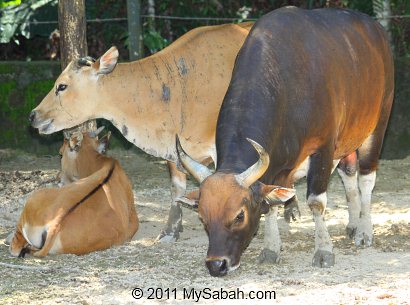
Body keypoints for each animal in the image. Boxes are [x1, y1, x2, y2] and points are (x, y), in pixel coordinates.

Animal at [9, 129, 138, 255]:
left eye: (61, 154)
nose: (58, 178)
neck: (105, 163)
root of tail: (55, 226)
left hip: (33, 199)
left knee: (15, 247)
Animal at [176, 7, 394, 276]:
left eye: (239, 216)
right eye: (202, 217)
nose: (217, 264)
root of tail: (376, 29)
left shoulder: (323, 148)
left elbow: (316, 202)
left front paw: (324, 250)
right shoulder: (278, 163)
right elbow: (271, 204)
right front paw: (271, 248)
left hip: (377, 125)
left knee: (365, 179)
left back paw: (364, 230)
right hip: (347, 138)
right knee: (349, 174)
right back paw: (353, 224)